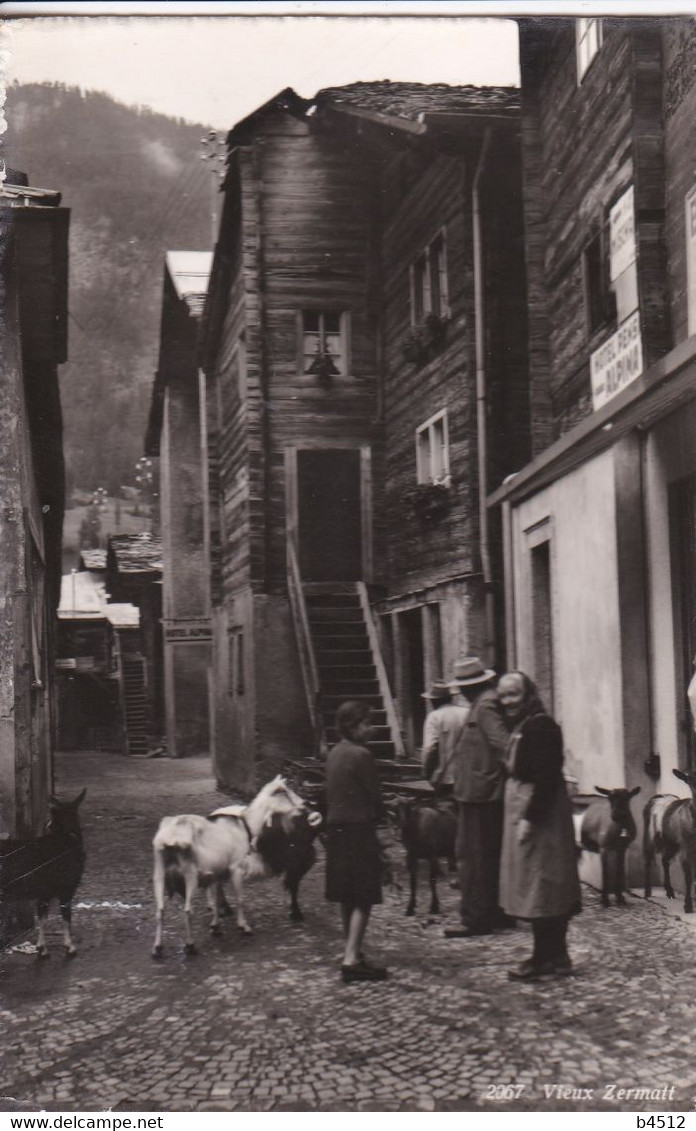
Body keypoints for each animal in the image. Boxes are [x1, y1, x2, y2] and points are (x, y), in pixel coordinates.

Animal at [0, 791, 87, 959]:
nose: (47, 824)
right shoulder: (67, 887)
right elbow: (66, 917)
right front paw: (70, 948)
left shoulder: (44, 892)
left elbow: (42, 917)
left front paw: (41, 948)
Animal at [153, 778, 305, 954]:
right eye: (284, 792)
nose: (304, 803)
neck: (246, 825)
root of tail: (170, 839)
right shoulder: (236, 868)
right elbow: (239, 899)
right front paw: (244, 927)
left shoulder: (215, 873)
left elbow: (216, 900)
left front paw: (216, 927)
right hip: (190, 875)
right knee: (188, 910)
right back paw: (190, 945)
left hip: (159, 874)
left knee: (160, 910)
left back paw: (157, 948)